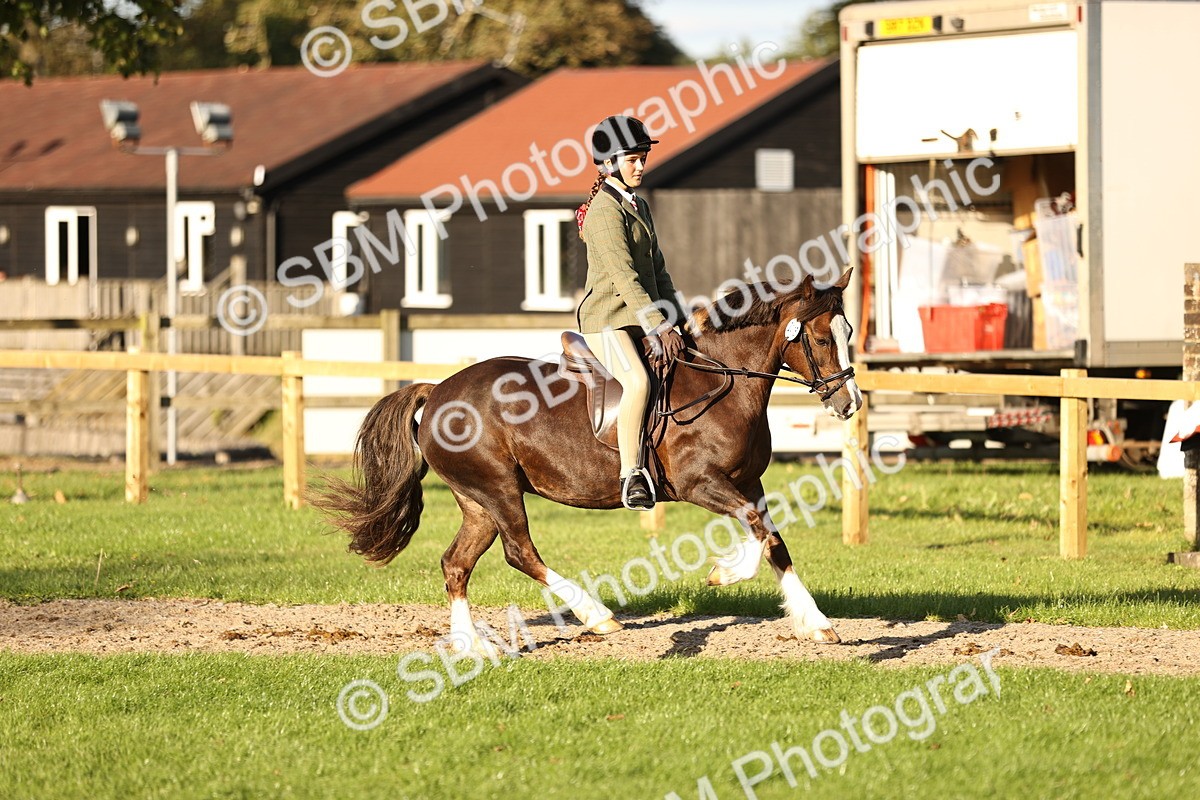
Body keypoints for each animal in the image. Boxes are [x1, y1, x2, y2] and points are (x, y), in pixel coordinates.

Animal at [317, 269, 863, 652]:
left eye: (849, 332)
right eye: (820, 339)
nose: (850, 403)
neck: (721, 380)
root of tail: (437, 393)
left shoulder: (748, 483)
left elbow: (773, 538)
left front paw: (816, 623)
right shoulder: (701, 484)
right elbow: (759, 533)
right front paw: (723, 573)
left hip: (477, 501)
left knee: (456, 563)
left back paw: (470, 644)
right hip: (498, 490)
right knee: (519, 553)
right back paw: (595, 616)